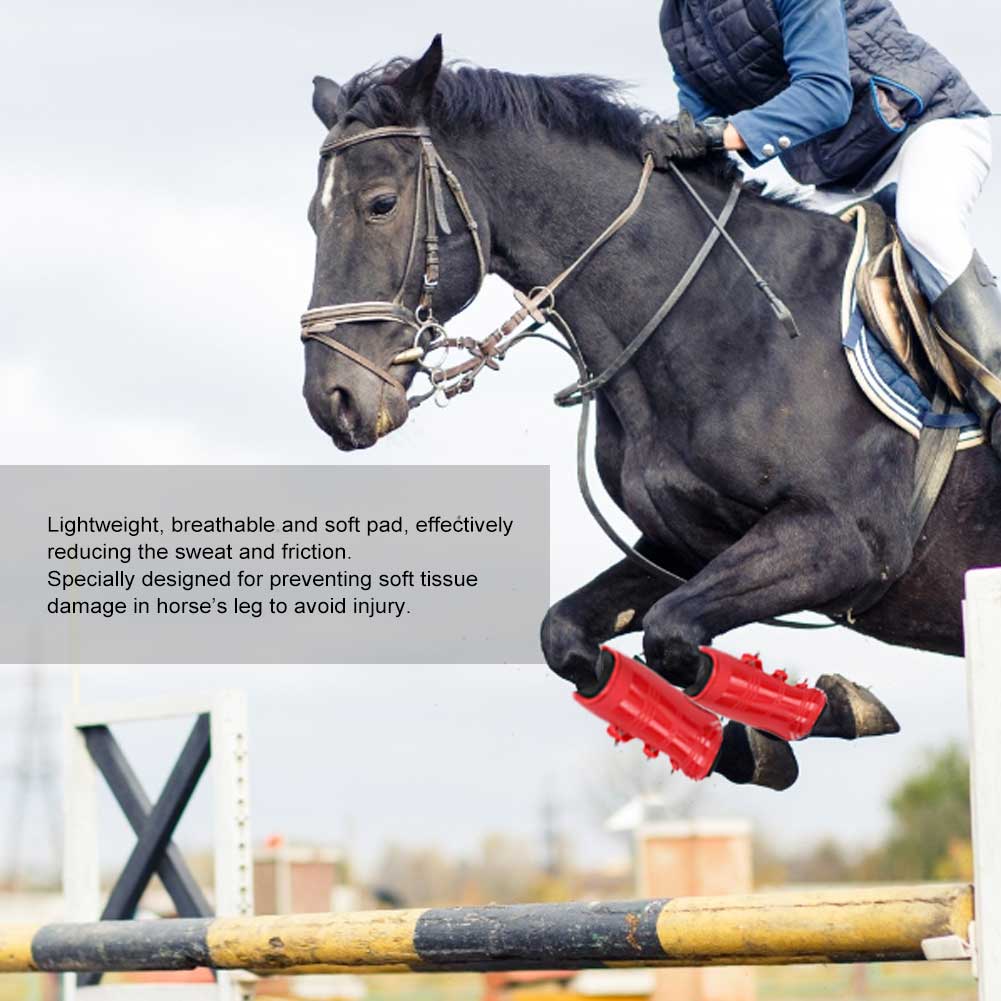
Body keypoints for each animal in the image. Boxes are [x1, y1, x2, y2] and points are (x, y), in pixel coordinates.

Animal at [299, 37, 1001, 788]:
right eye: (314, 218)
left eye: (380, 204)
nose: (333, 401)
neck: (713, 315)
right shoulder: (682, 547)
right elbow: (574, 636)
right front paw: (749, 746)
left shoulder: (845, 541)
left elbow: (670, 632)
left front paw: (829, 710)